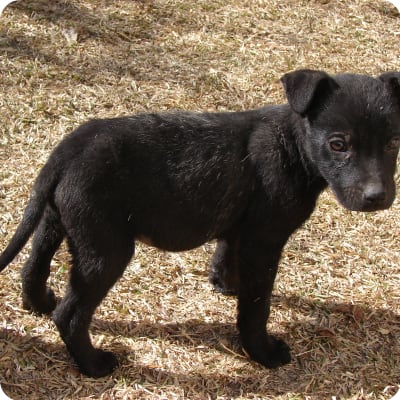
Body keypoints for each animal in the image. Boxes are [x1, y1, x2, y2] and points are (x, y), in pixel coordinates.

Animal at [0, 69, 400, 378]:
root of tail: (70, 148)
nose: (377, 197)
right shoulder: (264, 241)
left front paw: (225, 285)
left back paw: (38, 304)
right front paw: (262, 352)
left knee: (33, 266)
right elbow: (257, 306)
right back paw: (95, 365)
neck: (293, 145)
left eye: (394, 142)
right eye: (338, 144)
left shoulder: (240, 229)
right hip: (106, 250)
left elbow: (226, 258)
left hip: (56, 221)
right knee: (70, 315)